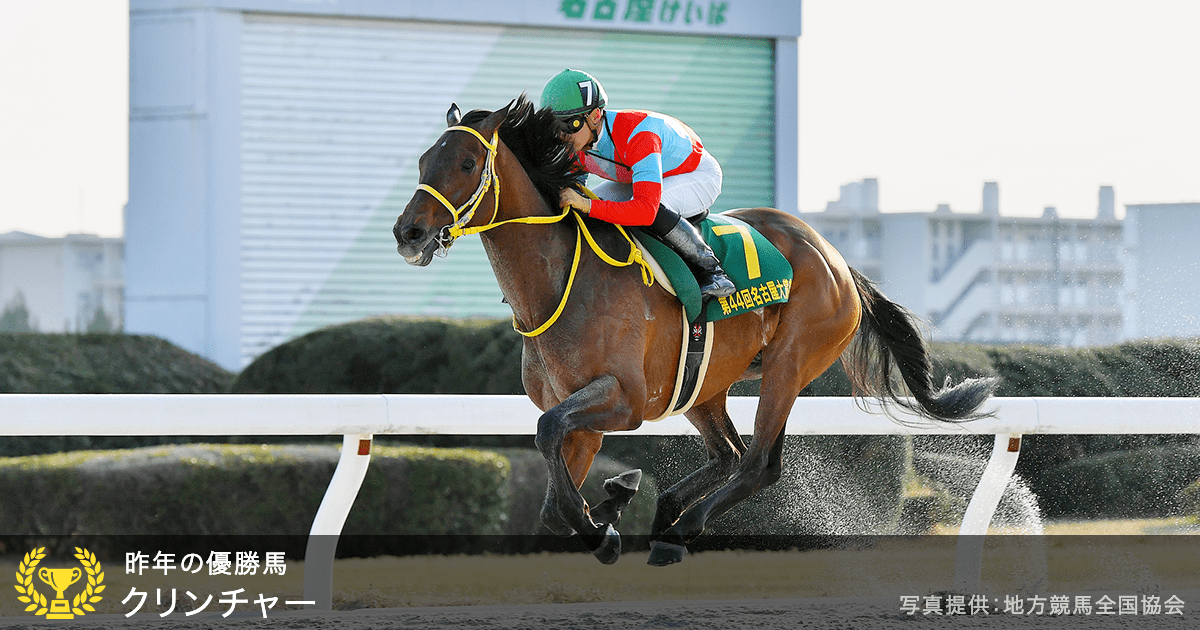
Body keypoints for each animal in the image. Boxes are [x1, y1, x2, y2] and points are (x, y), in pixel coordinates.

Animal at [393, 94, 997, 566]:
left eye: (468, 161)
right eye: (423, 160)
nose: (409, 232)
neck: (560, 282)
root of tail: (836, 257)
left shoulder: (625, 401)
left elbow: (547, 435)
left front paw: (605, 526)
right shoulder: (582, 416)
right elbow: (550, 496)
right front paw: (608, 508)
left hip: (789, 364)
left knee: (757, 464)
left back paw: (680, 528)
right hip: (706, 383)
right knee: (729, 454)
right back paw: (663, 513)